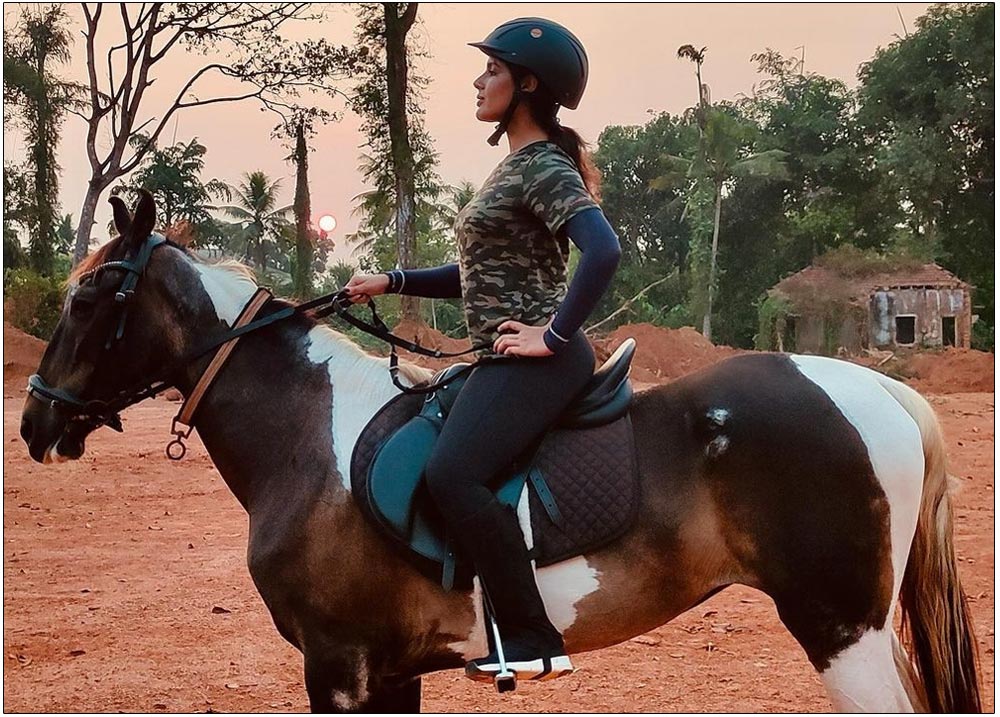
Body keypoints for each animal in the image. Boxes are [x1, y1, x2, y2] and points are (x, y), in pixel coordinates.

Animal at [19, 192, 980, 712]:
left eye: (88, 300)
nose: (34, 423)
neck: (308, 441)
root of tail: (883, 392)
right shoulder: (384, 670)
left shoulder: (336, 665)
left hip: (842, 631)